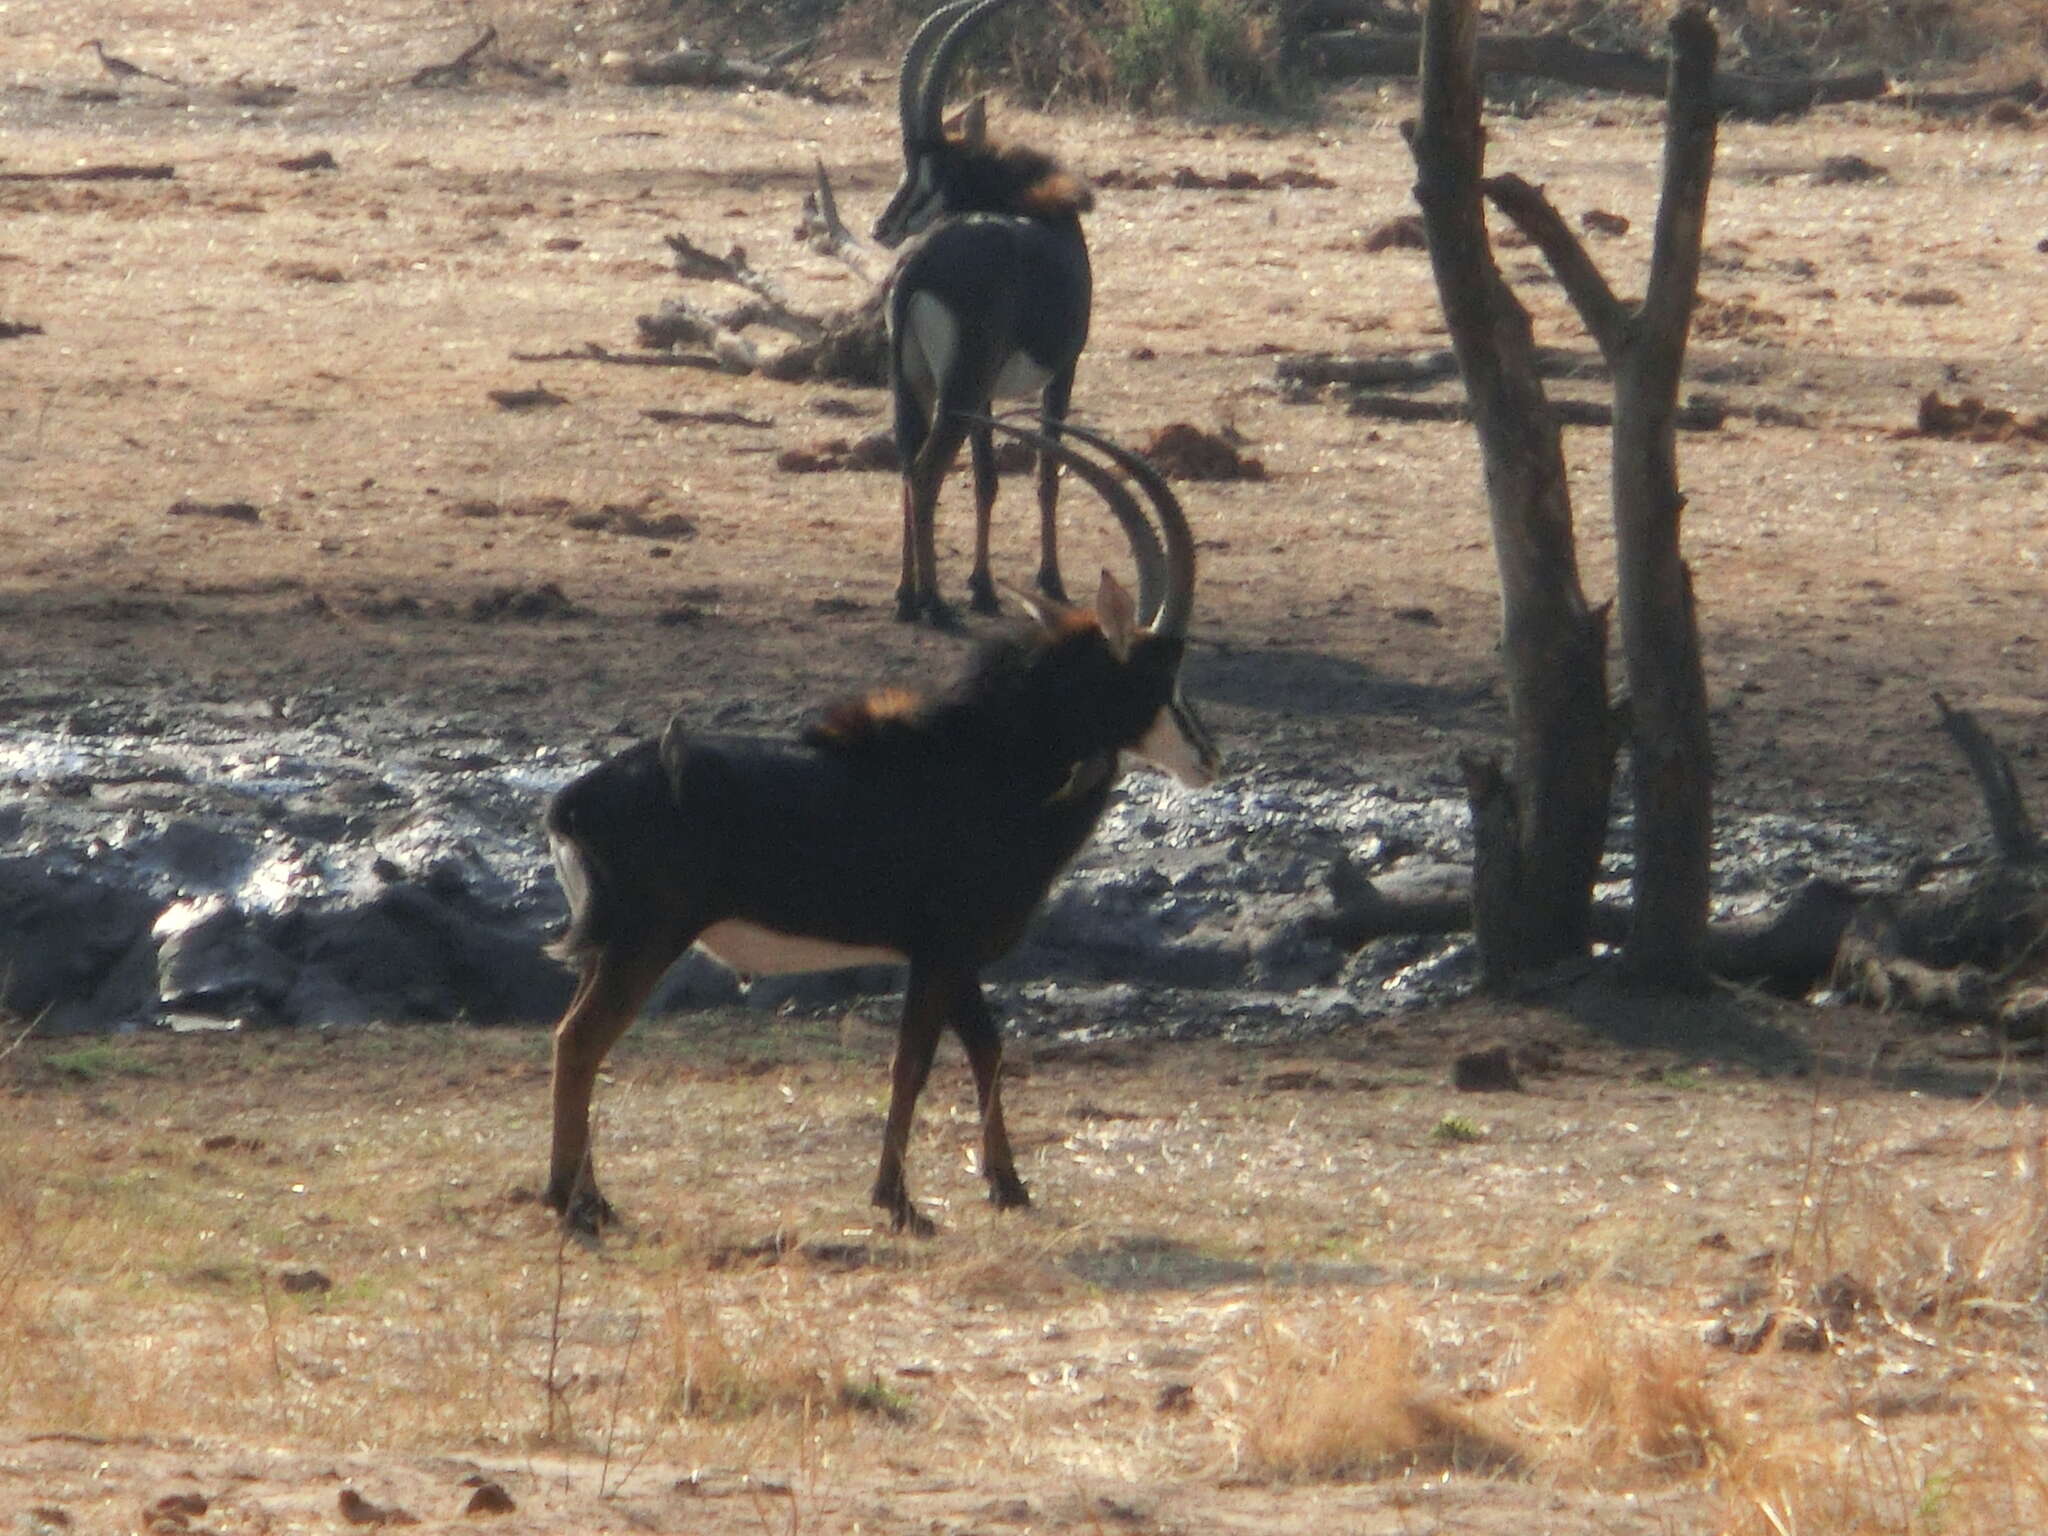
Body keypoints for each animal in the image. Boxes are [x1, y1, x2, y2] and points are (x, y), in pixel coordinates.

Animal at [540, 421, 1212, 1236]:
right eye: (1158, 675)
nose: (1208, 758)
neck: (990, 764)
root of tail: (573, 801)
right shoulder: (942, 951)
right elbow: (912, 1063)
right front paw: (899, 1202)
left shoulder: (953, 957)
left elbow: (987, 1050)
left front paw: (1007, 1185)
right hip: (644, 939)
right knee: (581, 1040)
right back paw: (573, 1204)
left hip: (610, 945)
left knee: (576, 1037)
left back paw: (589, 1198)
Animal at [872, 1, 1097, 626]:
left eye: (936, 169)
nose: (882, 226)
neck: (1037, 208)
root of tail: (919, 265)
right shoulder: (1064, 369)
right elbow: (1047, 475)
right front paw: (1049, 582)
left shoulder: (988, 394)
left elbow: (987, 479)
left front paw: (983, 587)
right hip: (960, 384)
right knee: (927, 470)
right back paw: (932, 603)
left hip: (918, 385)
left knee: (906, 461)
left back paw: (905, 596)